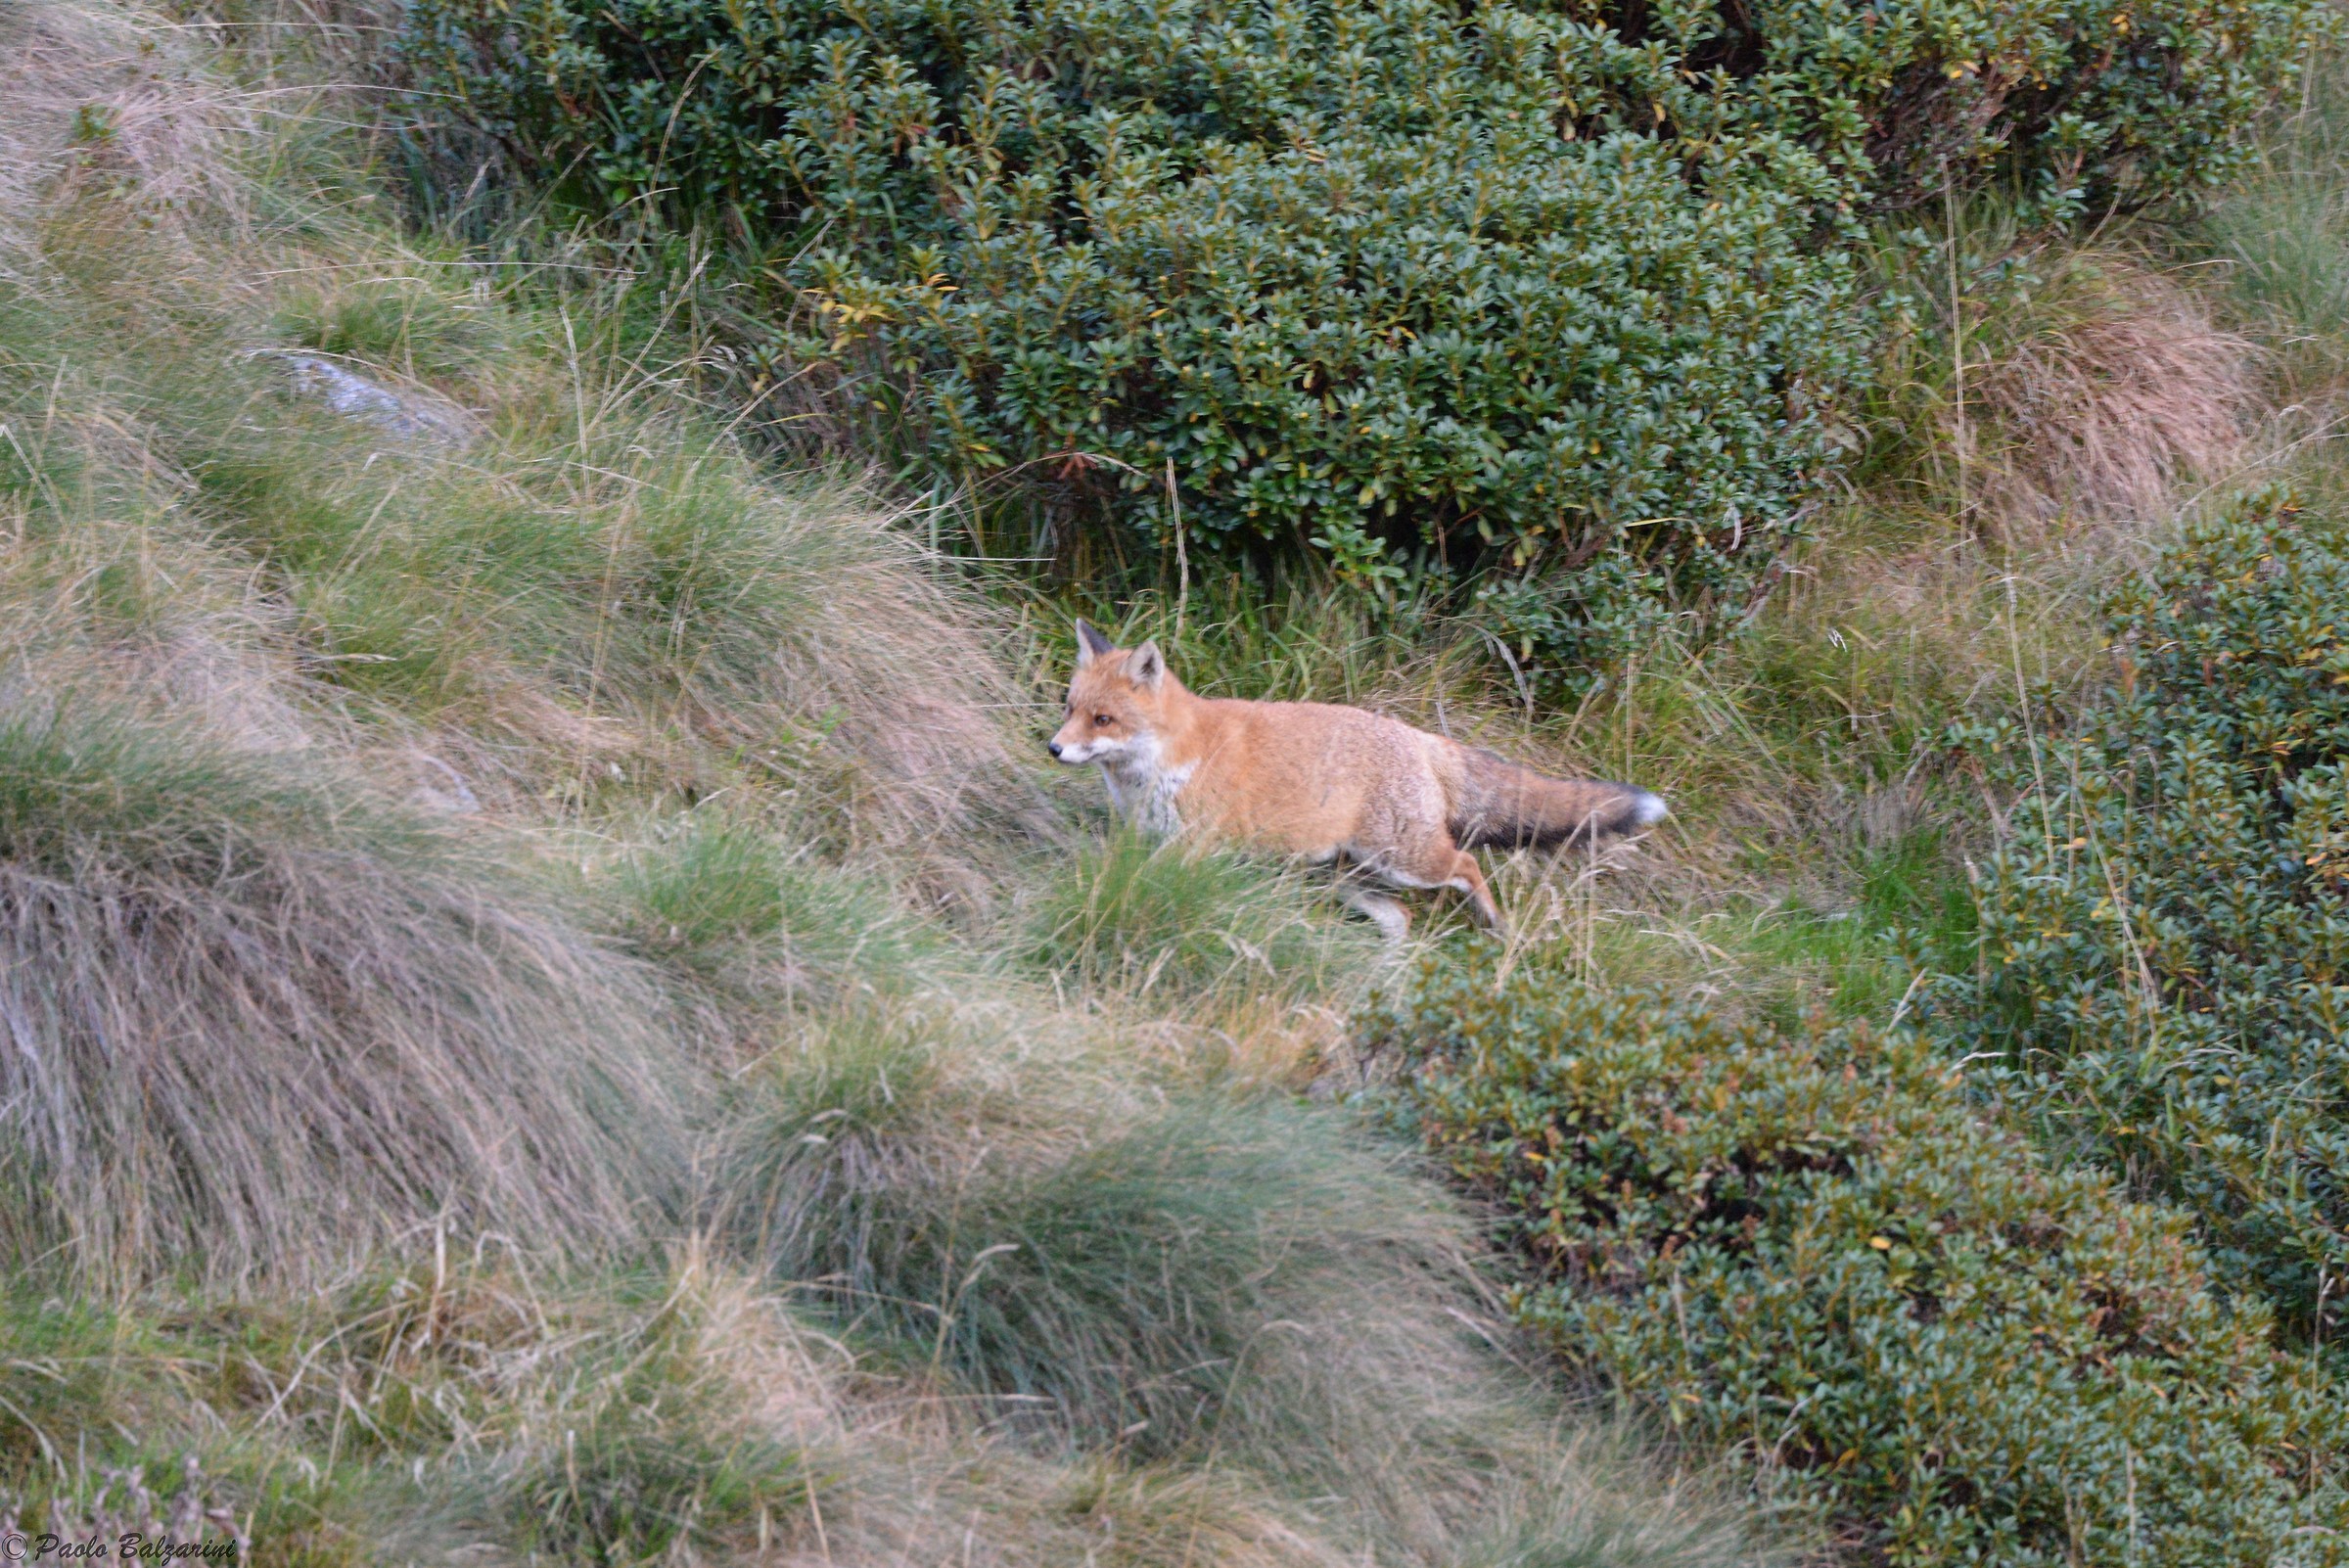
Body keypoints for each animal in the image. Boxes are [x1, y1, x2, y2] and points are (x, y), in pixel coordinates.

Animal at [1048, 621, 1667, 937]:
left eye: (1103, 720)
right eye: (1070, 708)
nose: (1054, 748)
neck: (1167, 763)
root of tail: (1417, 736)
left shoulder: (1194, 844)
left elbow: (1142, 884)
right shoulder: (1146, 836)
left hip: (1405, 860)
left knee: (1467, 865)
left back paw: (1495, 924)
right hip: (1349, 876)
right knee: (1402, 917)